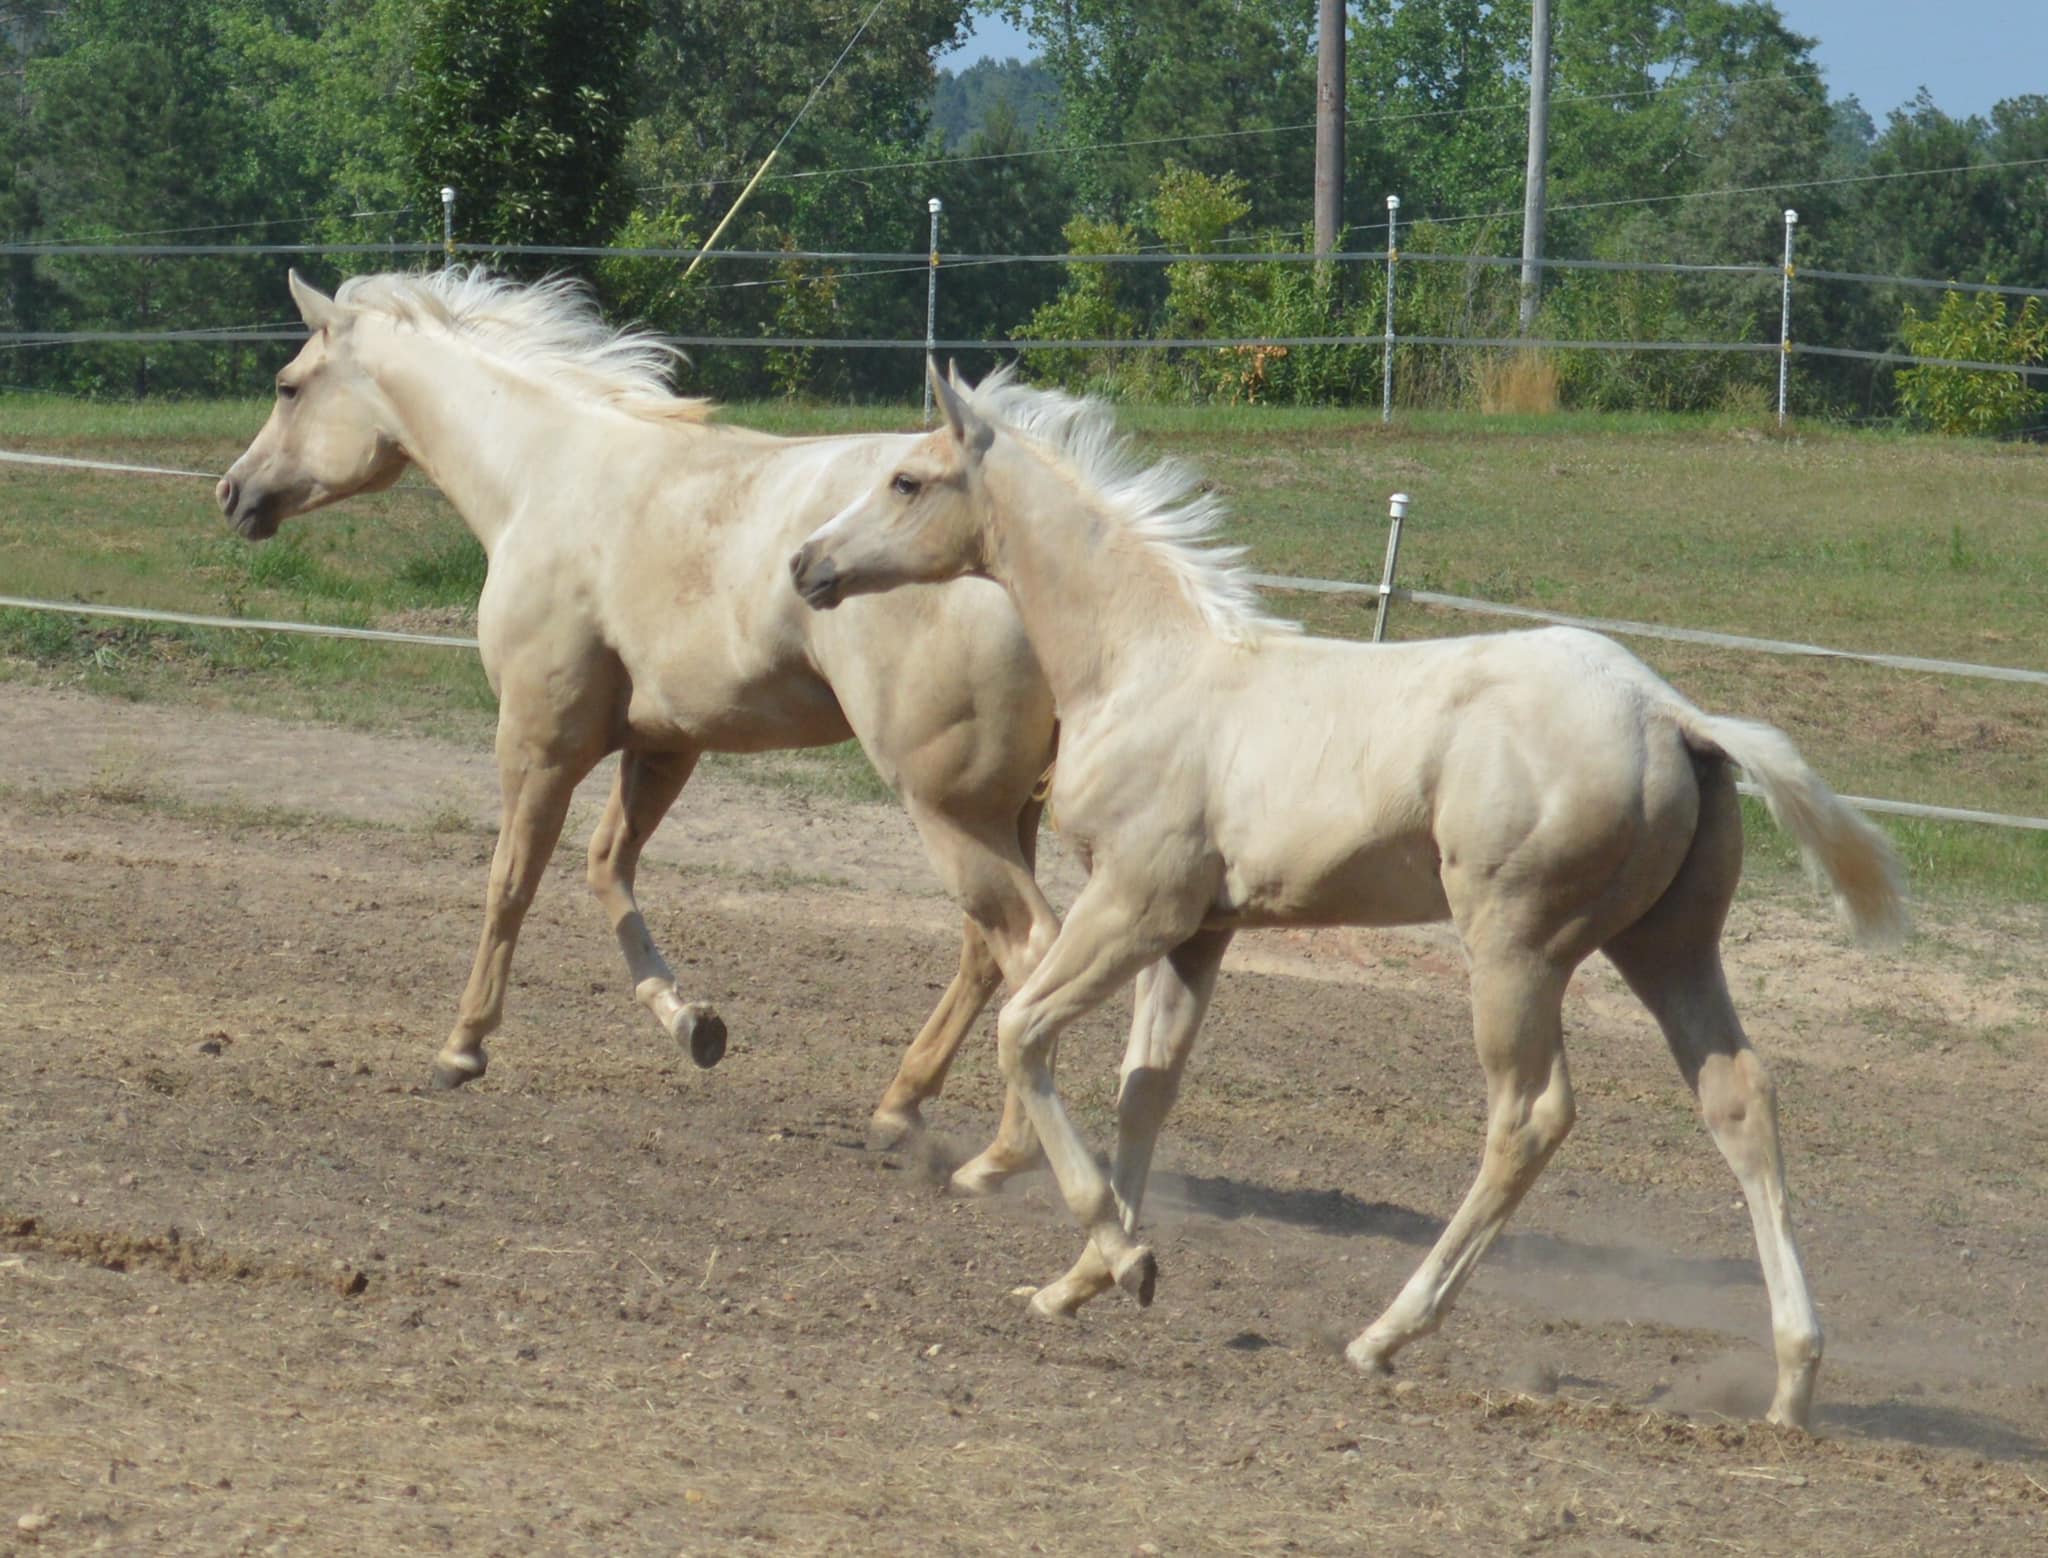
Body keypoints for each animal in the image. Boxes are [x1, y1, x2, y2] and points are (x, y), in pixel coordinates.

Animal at [216, 267, 1064, 1183]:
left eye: (287, 386)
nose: (231, 492)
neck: (546, 475)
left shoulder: (539, 739)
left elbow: (509, 882)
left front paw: (462, 1048)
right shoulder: (665, 744)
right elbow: (606, 871)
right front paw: (693, 1023)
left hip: (949, 807)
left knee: (1031, 945)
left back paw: (1005, 1156)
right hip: (1004, 810)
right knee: (989, 951)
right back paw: (899, 1108)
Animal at [788, 363, 1908, 1430]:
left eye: (906, 479)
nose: (805, 566)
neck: (1145, 669)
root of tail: (1667, 711)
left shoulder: (1136, 902)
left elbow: (1023, 1031)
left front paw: (1109, 1247)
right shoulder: (1199, 933)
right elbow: (1146, 1086)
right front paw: (1086, 1279)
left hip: (1518, 946)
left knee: (1529, 1116)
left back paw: (1385, 1333)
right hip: (1667, 946)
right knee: (1739, 1098)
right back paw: (1792, 1382)